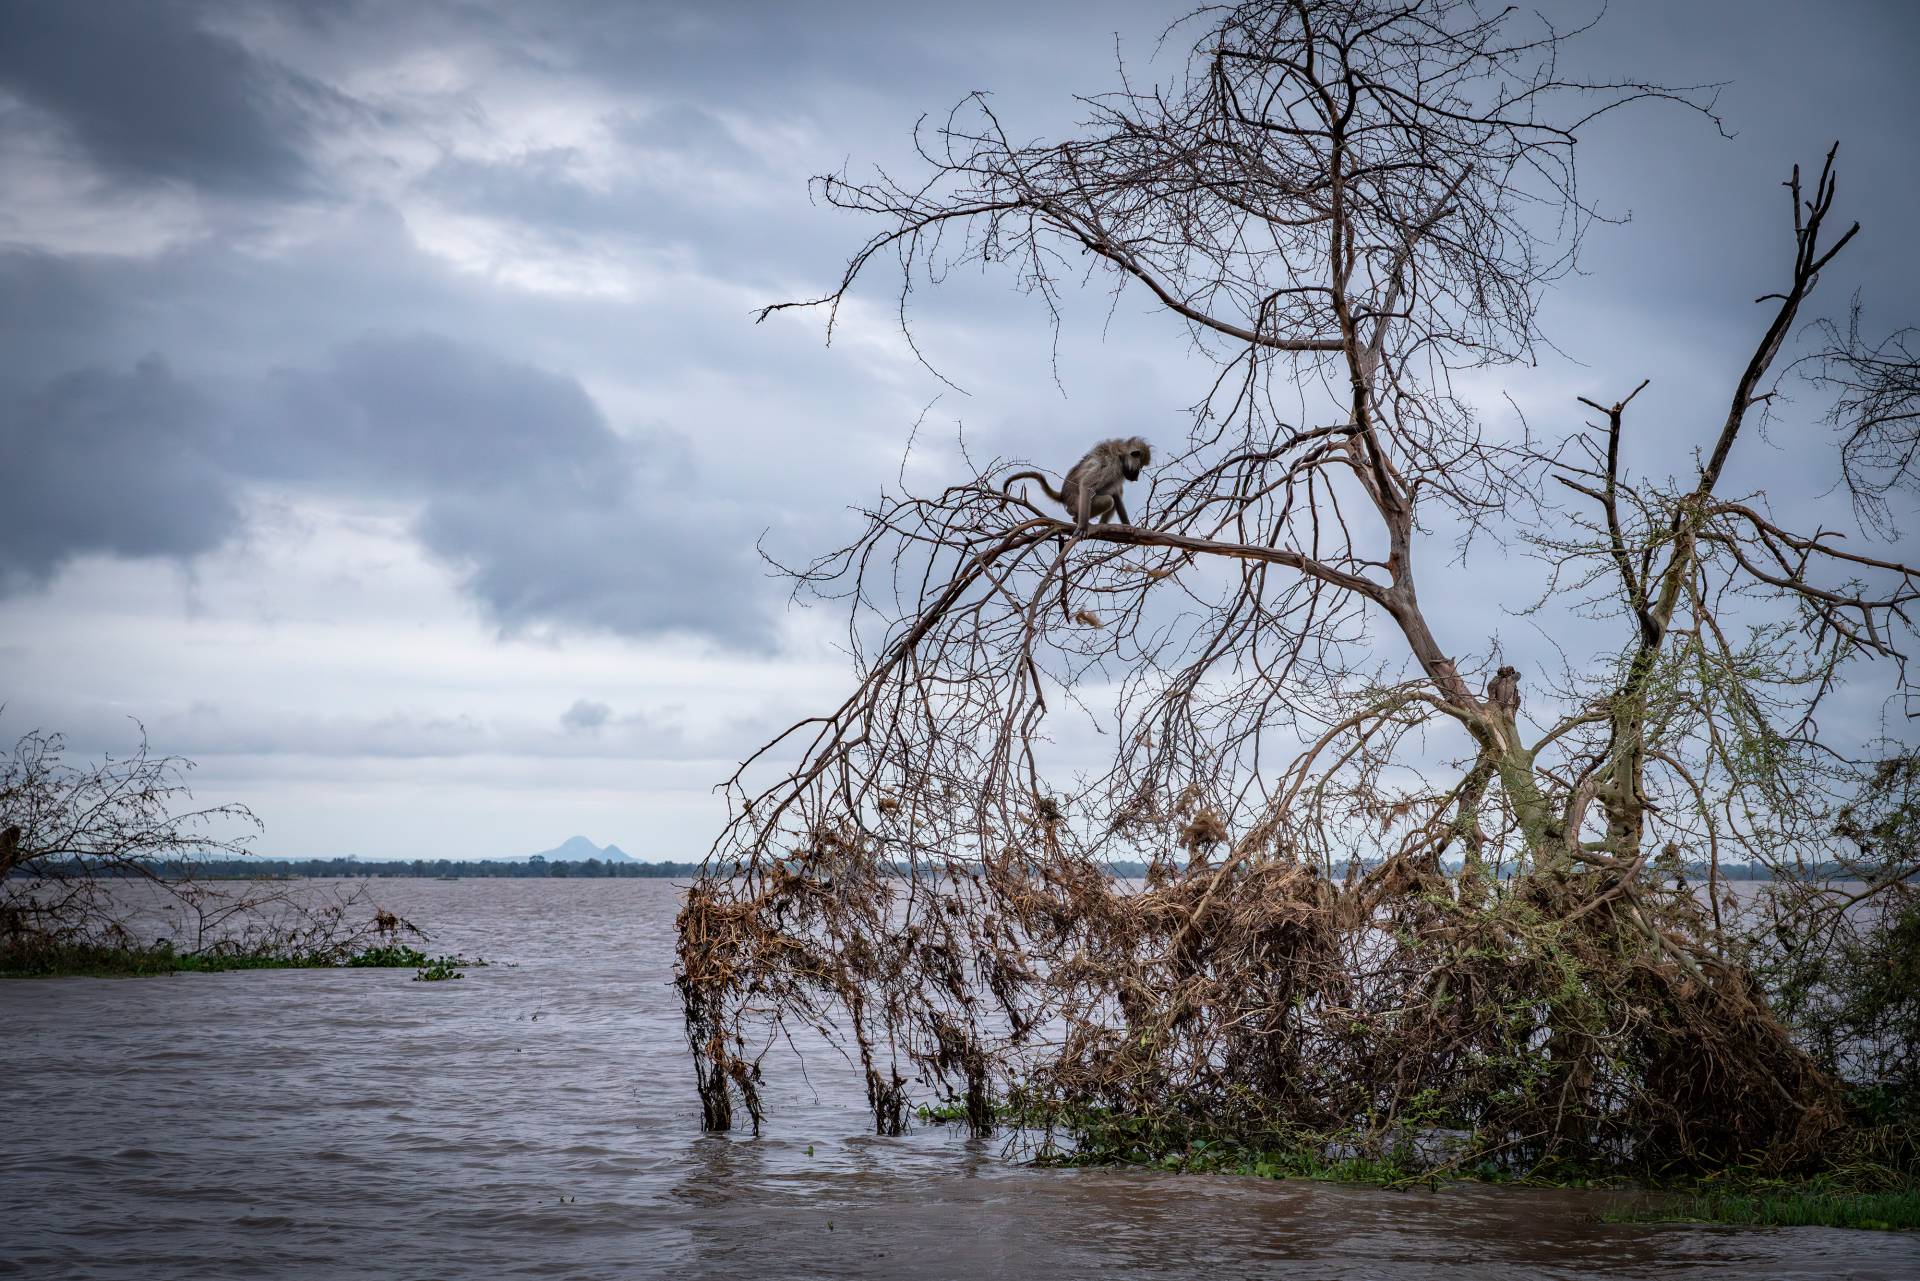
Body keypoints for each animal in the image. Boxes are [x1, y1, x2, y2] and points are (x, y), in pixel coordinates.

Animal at [1005, 436, 1152, 531]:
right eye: (1139, 468)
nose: (1136, 478)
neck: (1121, 455)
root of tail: (1063, 496)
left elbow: (1116, 493)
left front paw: (1129, 526)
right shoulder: (1111, 465)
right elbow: (1087, 485)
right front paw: (1082, 527)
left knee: (1113, 498)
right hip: (1076, 505)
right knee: (1108, 501)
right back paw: (1078, 521)